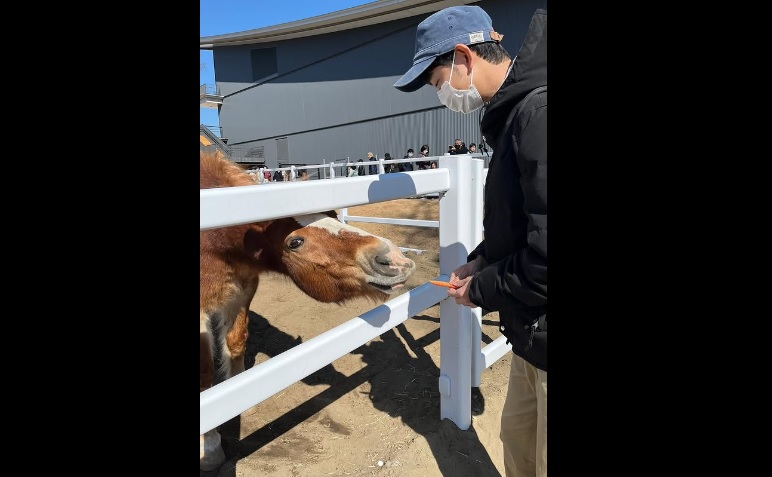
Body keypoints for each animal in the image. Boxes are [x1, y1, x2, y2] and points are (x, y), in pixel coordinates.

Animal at [201, 151, 416, 470]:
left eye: (333, 215)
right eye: (295, 241)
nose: (393, 257)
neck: (214, 240)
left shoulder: (241, 292)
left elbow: (236, 345)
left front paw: (232, 400)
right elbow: (204, 372)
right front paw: (209, 445)